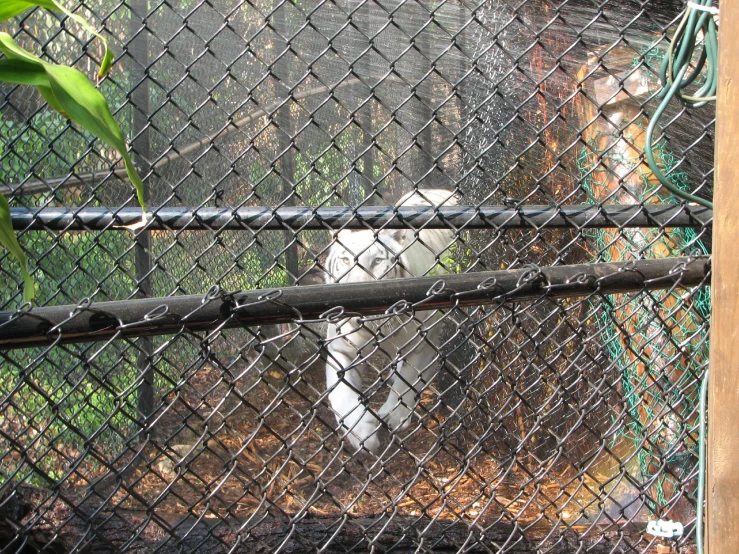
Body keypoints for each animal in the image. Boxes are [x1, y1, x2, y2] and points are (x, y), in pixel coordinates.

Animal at [324, 188, 456, 450]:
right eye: (345, 260)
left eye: (377, 261)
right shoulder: (341, 348)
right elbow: (340, 391)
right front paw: (361, 432)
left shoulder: (422, 341)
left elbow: (408, 380)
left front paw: (395, 415)